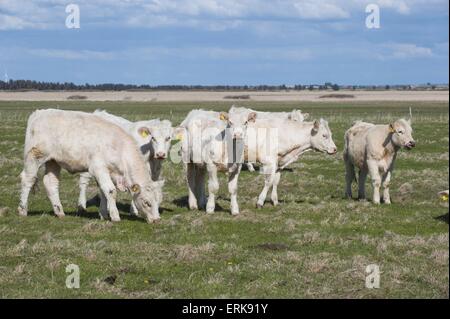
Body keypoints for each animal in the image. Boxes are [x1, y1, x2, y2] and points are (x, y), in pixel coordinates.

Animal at [20, 110, 163, 225]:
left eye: (158, 202)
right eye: (147, 202)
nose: (157, 220)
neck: (119, 147)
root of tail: (39, 113)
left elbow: (104, 192)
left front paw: (104, 214)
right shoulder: (98, 168)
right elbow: (111, 191)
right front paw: (115, 216)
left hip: (53, 161)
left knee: (51, 183)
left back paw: (59, 212)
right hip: (34, 157)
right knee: (28, 179)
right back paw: (22, 210)